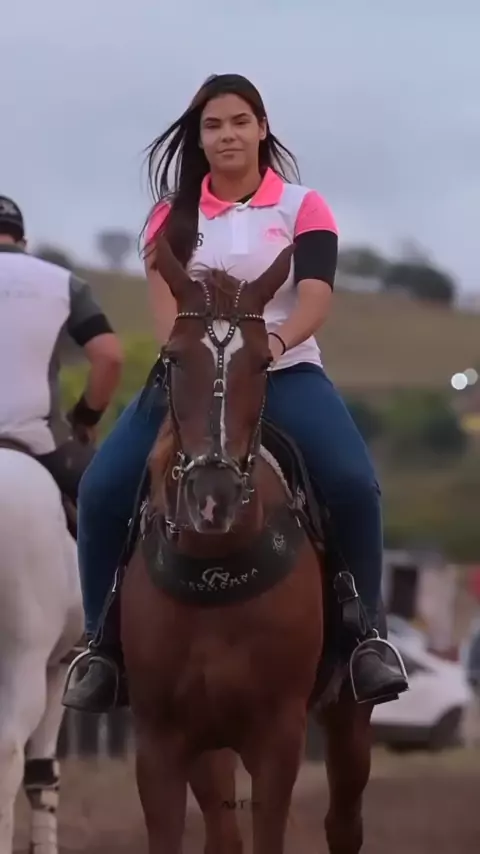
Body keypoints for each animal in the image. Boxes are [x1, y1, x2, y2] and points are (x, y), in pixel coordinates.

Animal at [120, 240, 375, 854]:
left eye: (262, 363)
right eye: (172, 359)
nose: (213, 499)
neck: (214, 571)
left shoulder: (278, 736)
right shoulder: (161, 740)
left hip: (349, 714)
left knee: (344, 819)